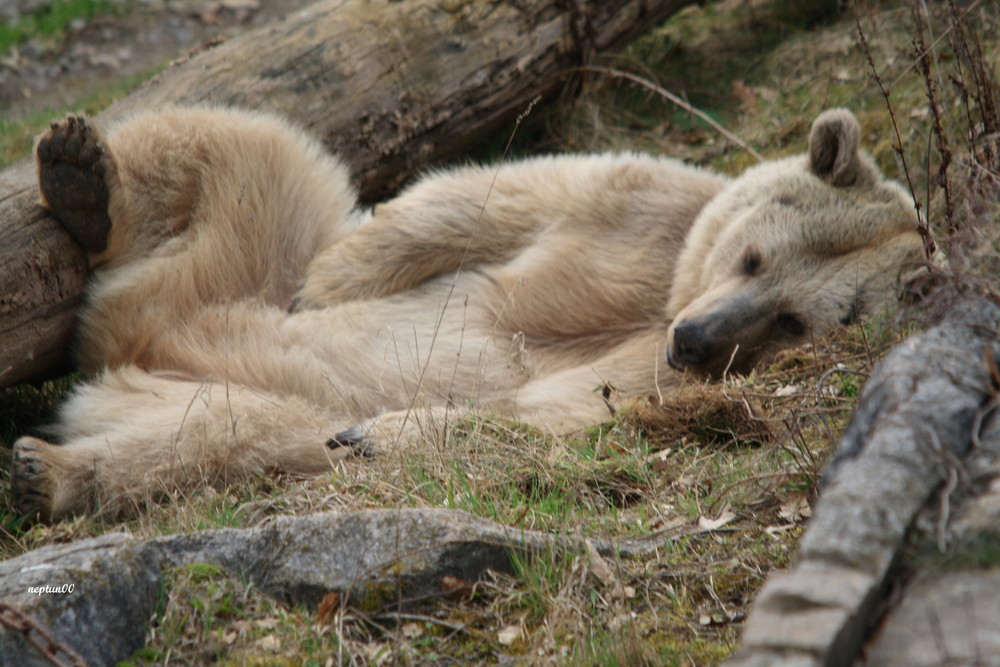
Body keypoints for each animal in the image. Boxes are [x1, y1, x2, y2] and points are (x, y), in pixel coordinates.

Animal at [13, 105, 920, 520]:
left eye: (794, 322)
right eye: (753, 256)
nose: (693, 340)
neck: (665, 294)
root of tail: (132, 354)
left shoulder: (652, 381)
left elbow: (553, 413)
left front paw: (379, 434)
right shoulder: (648, 208)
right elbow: (490, 198)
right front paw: (334, 284)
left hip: (225, 377)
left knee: (230, 438)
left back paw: (48, 469)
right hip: (233, 267)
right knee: (241, 151)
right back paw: (80, 174)